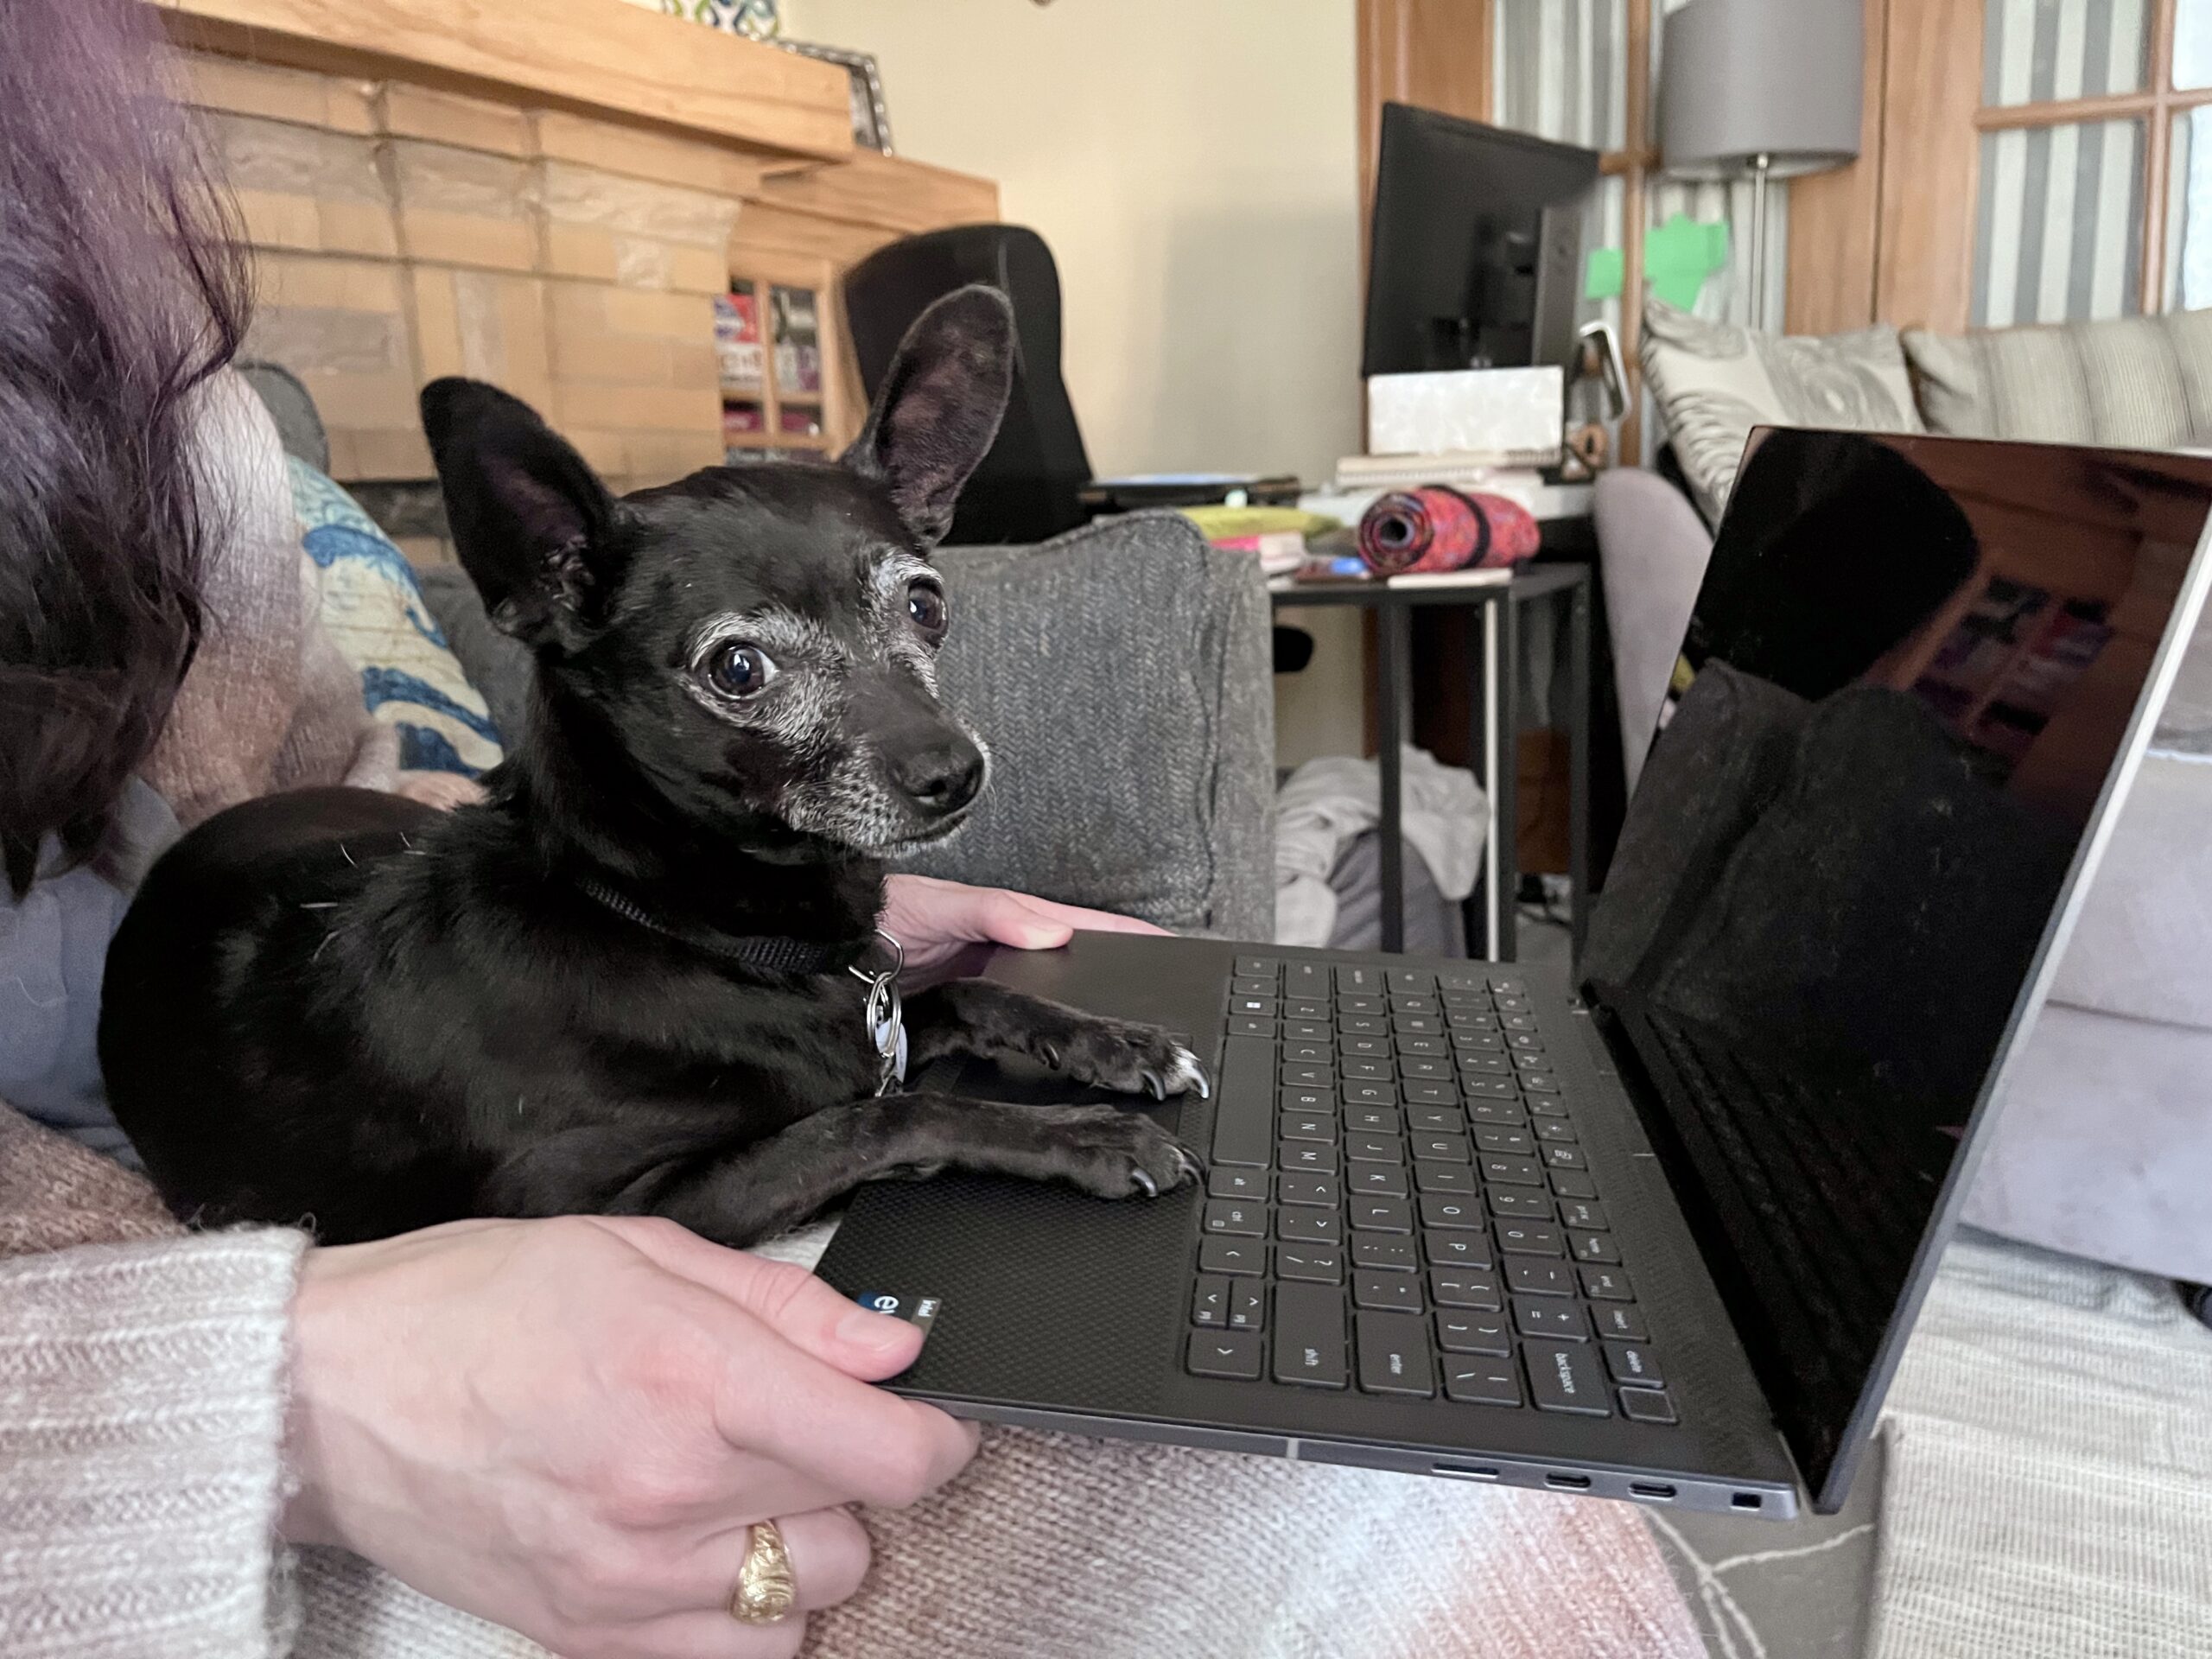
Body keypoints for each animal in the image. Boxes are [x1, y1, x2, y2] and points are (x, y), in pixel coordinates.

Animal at [99, 285, 1211, 1247]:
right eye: (738, 667)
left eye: (925, 604)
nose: (954, 772)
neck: (677, 924)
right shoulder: (608, 1213)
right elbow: (874, 1118)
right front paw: (1082, 1135)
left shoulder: (882, 1018)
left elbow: (962, 996)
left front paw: (1113, 1043)